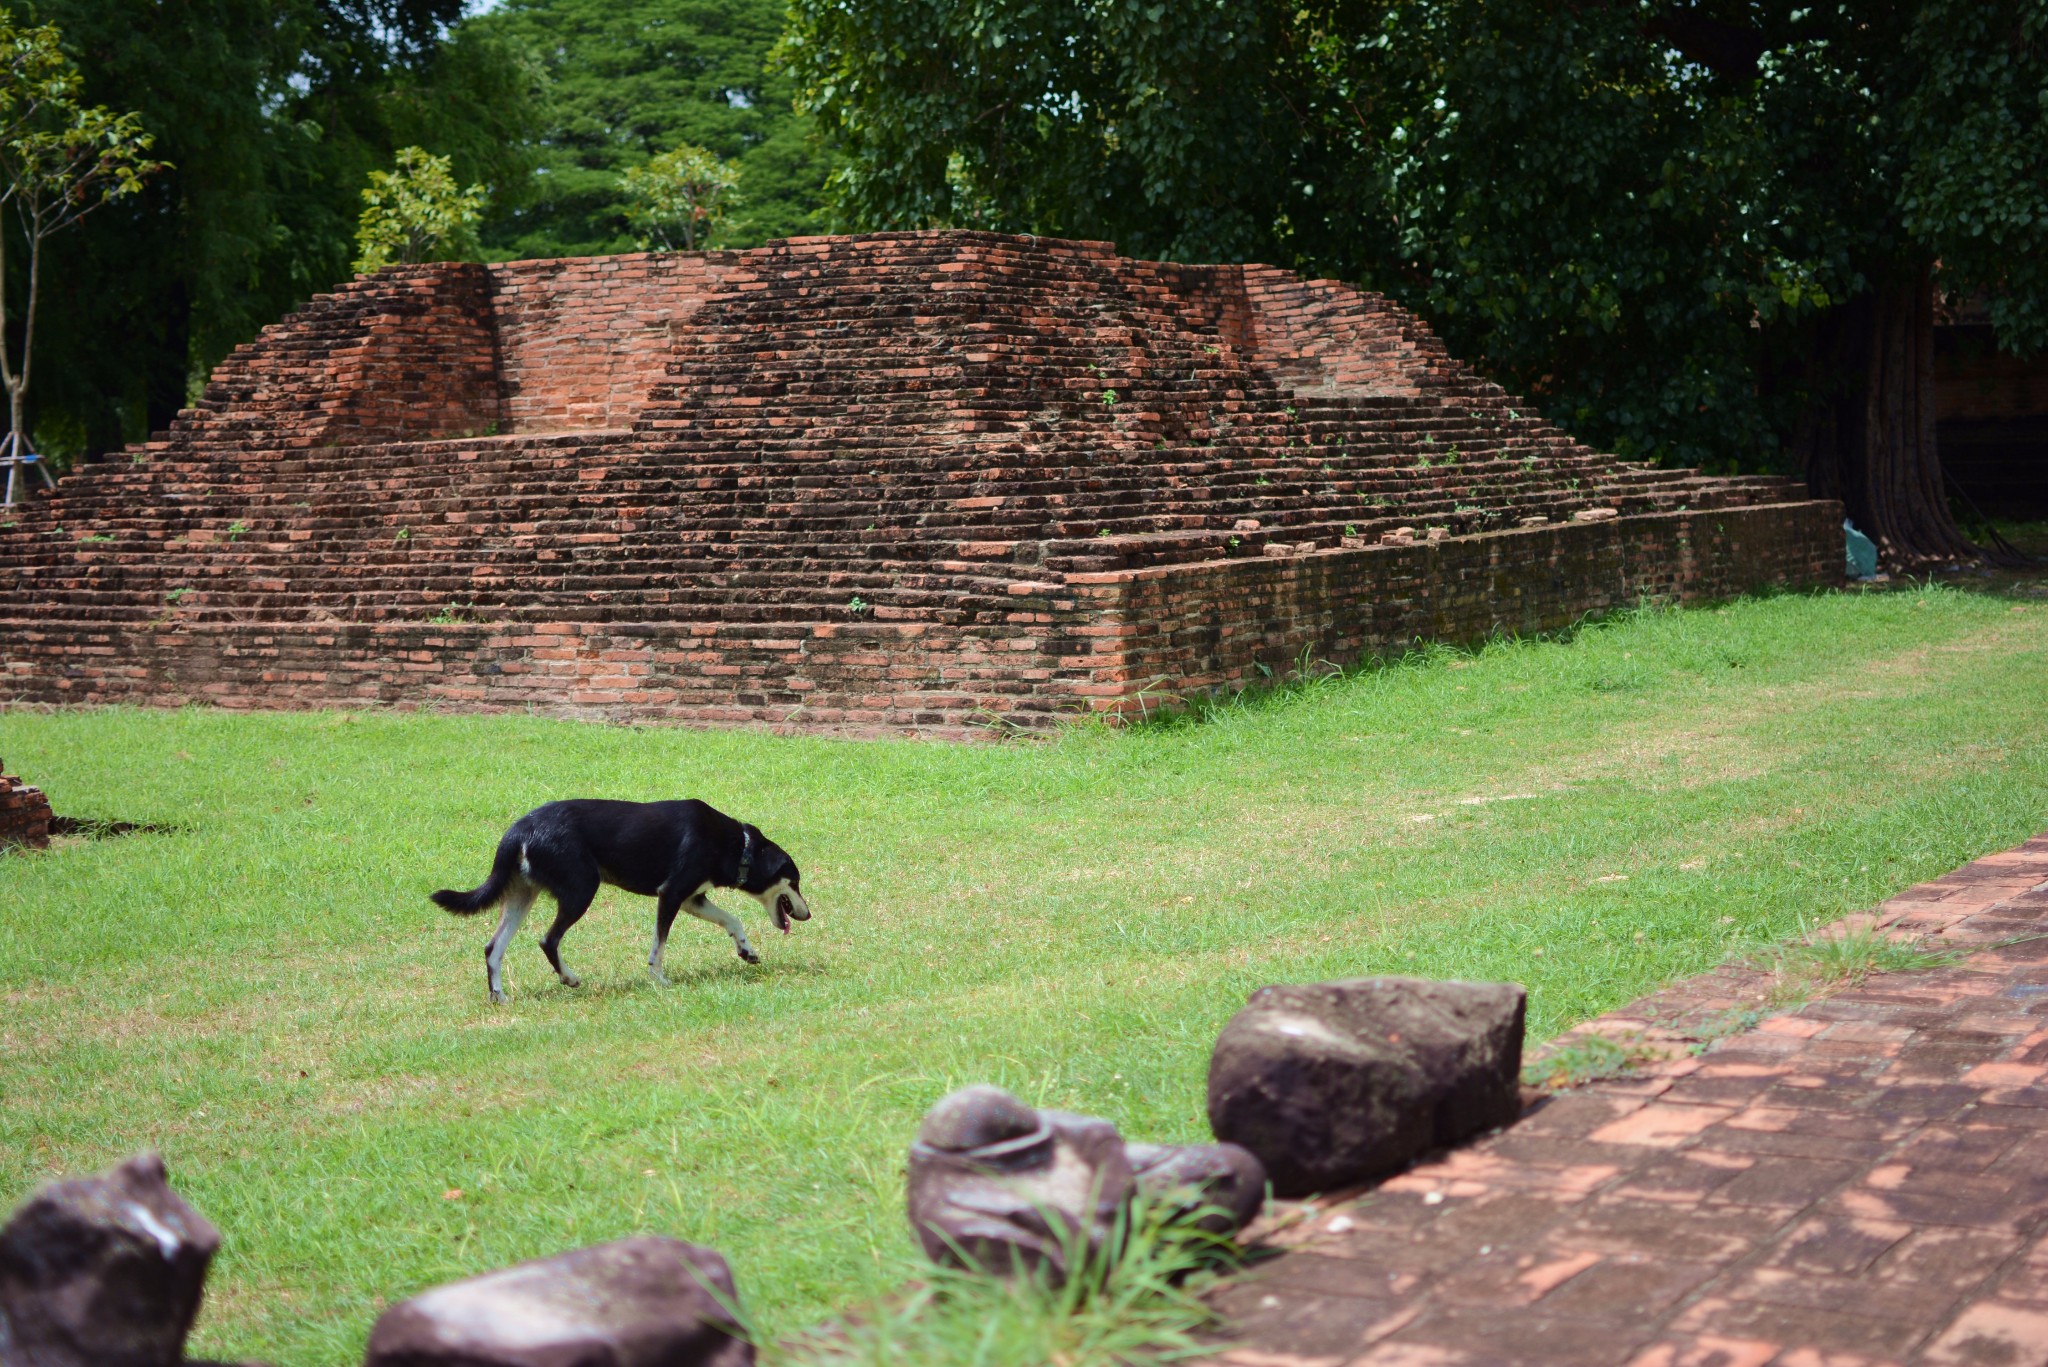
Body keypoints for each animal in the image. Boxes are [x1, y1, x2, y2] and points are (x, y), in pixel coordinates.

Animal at [432, 803, 806, 1004]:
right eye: (796, 882)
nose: (809, 914)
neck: (738, 846)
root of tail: (520, 829)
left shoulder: (692, 899)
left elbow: (733, 921)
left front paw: (746, 950)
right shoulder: (671, 894)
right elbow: (659, 946)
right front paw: (659, 979)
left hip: (522, 896)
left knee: (493, 948)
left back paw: (499, 996)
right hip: (582, 889)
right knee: (548, 940)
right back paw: (569, 978)